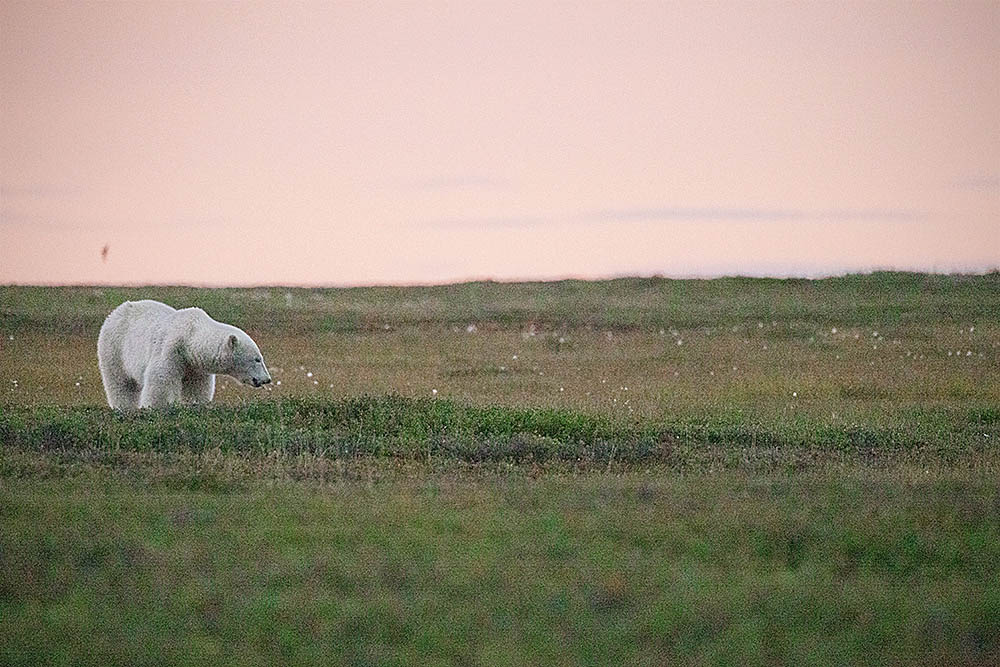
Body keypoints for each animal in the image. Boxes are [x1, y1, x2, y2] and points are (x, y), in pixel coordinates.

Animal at [96, 300, 272, 410]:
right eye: (257, 359)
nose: (267, 379)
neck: (190, 336)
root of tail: (115, 312)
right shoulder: (170, 350)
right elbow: (160, 379)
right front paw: (157, 406)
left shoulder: (195, 365)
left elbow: (197, 387)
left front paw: (196, 404)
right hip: (114, 347)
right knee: (120, 383)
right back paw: (123, 406)